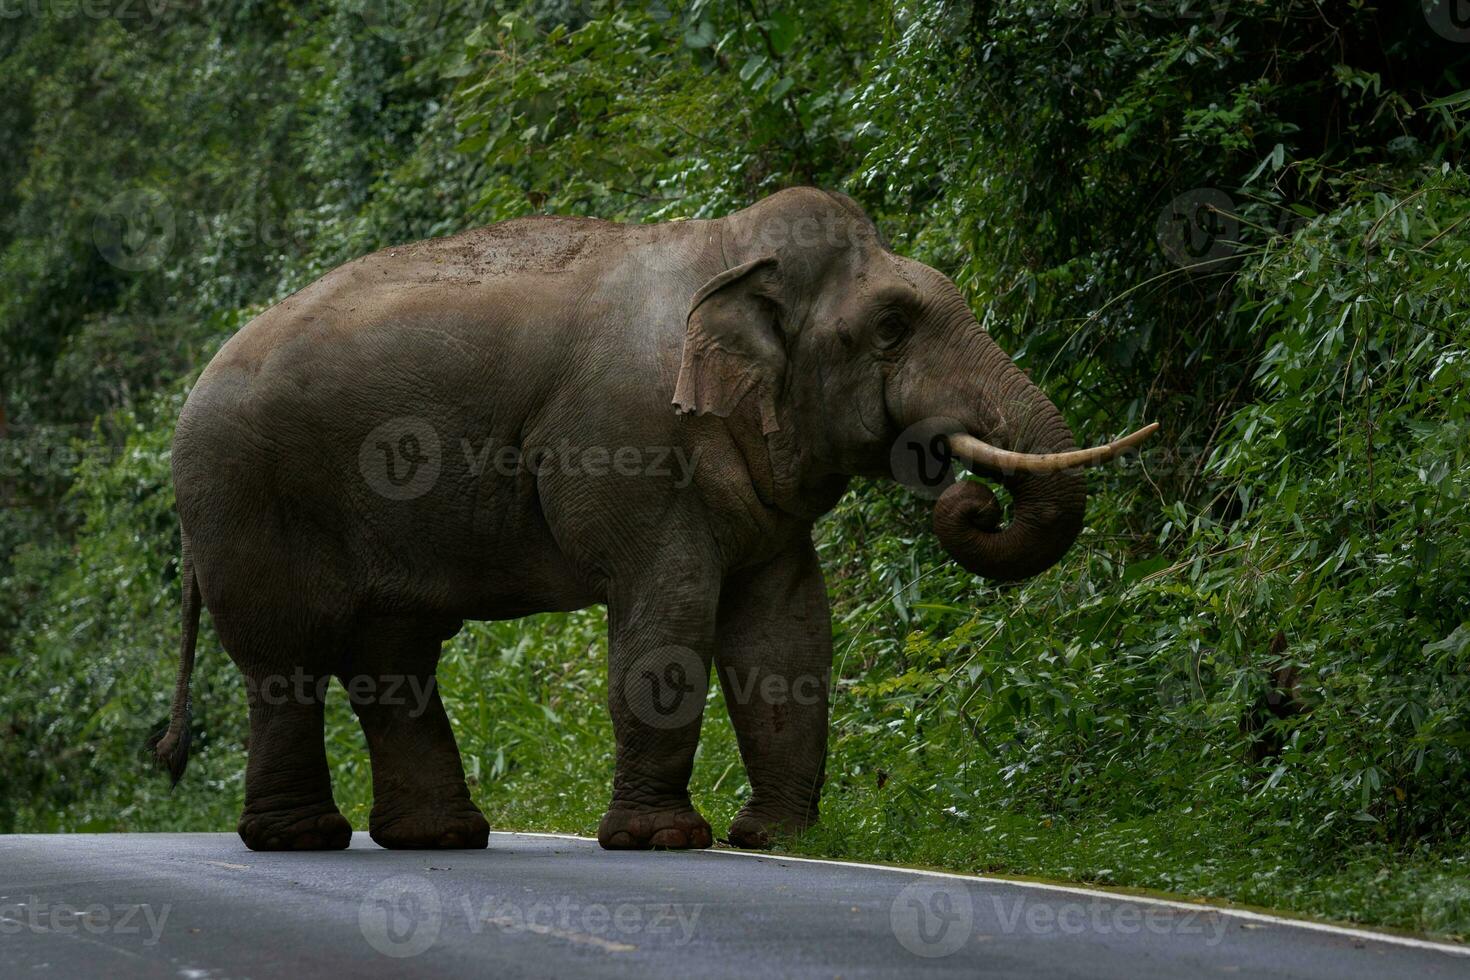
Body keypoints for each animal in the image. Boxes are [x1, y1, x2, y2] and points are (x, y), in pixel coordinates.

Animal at [152, 185, 1158, 852]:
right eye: (891, 328)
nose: (968, 491)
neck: (727, 255)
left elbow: (787, 633)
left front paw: (778, 842)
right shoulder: (628, 444)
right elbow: (668, 611)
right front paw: (663, 842)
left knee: (392, 657)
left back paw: (441, 839)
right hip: (242, 497)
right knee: (287, 659)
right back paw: (302, 840)